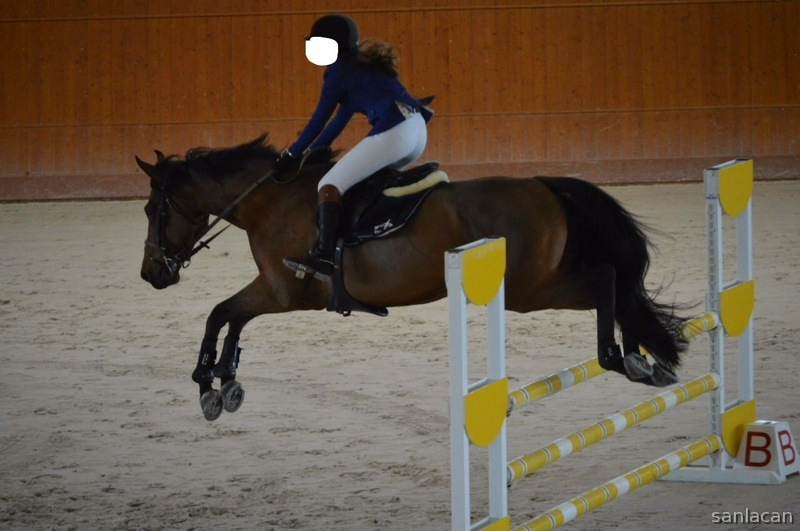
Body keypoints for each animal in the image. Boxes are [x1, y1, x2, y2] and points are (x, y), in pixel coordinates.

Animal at [136, 134, 688, 421]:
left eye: (151, 209)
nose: (150, 274)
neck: (272, 201)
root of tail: (543, 186)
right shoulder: (277, 294)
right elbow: (232, 321)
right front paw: (226, 380)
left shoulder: (281, 291)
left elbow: (220, 314)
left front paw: (206, 383)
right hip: (536, 283)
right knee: (614, 282)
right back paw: (641, 356)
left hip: (527, 290)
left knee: (605, 280)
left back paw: (618, 356)